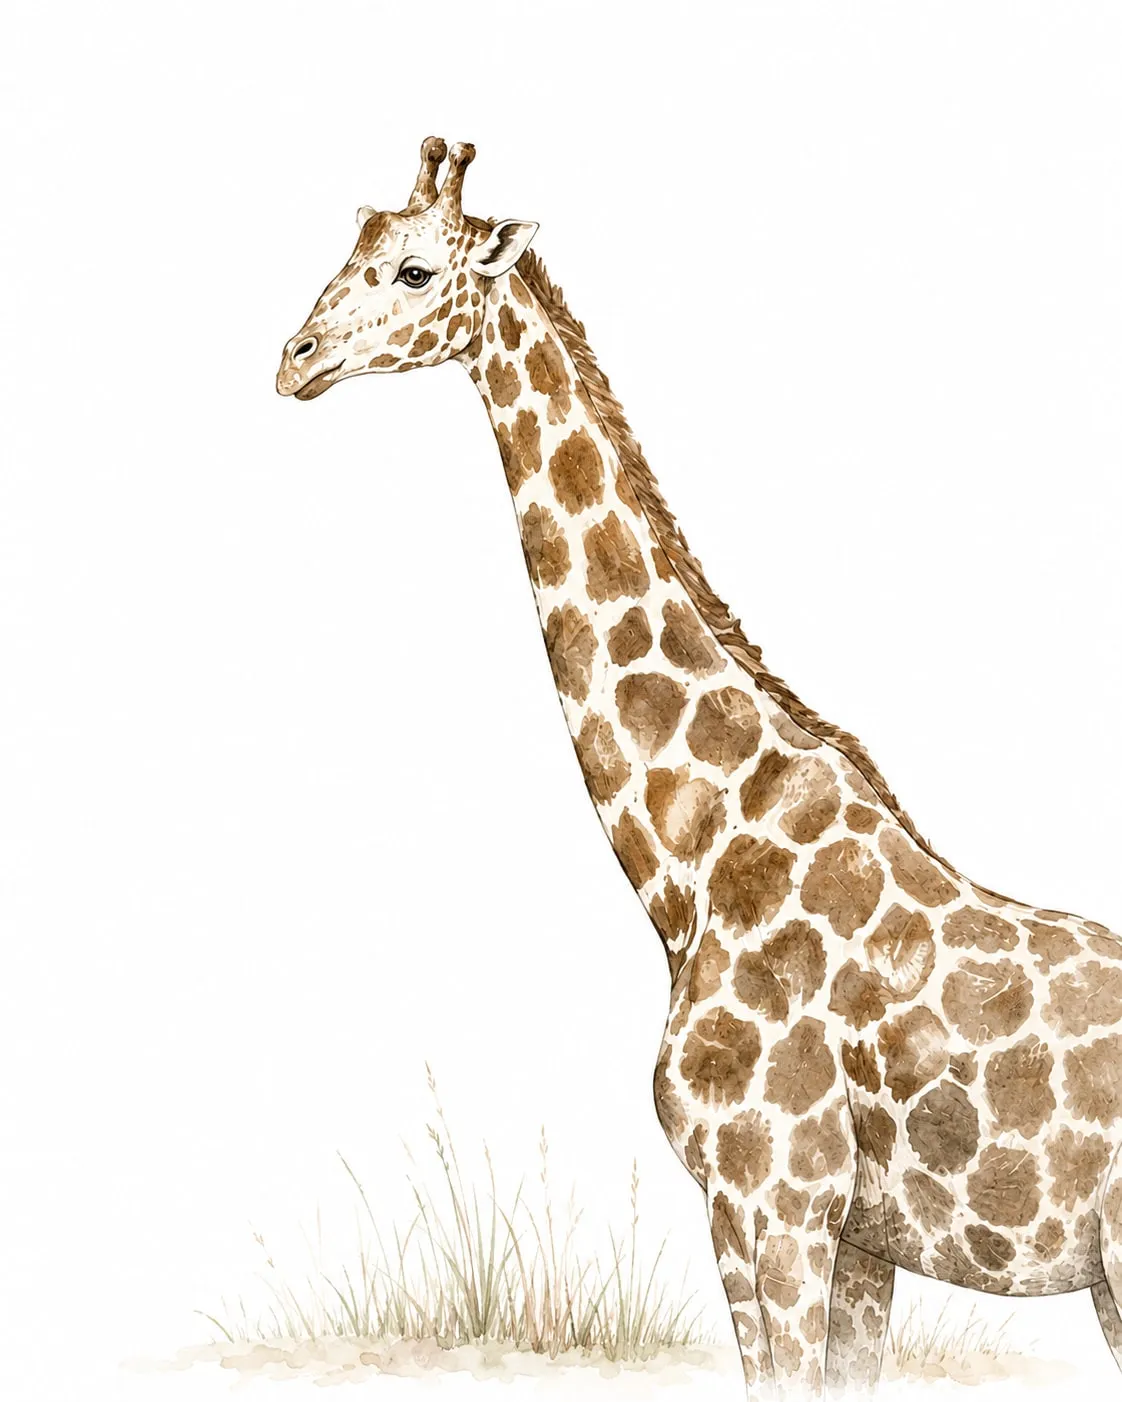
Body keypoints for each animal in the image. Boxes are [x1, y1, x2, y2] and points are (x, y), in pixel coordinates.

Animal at [276, 138, 1122, 1398]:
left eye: (417, 269)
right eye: (354, 244)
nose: (294, 359)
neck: (698, 864)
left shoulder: (774, 1197)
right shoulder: (851, 1239)